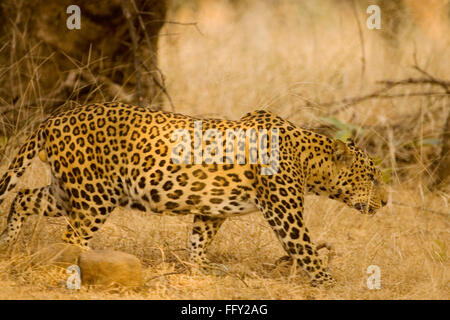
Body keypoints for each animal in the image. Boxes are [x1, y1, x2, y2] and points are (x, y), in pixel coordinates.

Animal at [0, 102, 386, 284]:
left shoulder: (212, 209)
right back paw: (81, 266)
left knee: (23, 197)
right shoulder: (285, 214)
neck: (308, 157)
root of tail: (53, 119)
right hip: (94, 194)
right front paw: (331, 283)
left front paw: (200, 269)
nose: (385, 201)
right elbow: (306, 249)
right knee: (72, 236)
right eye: (371, 176)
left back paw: (7, 243)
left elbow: (200, 239)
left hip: (66, 190)